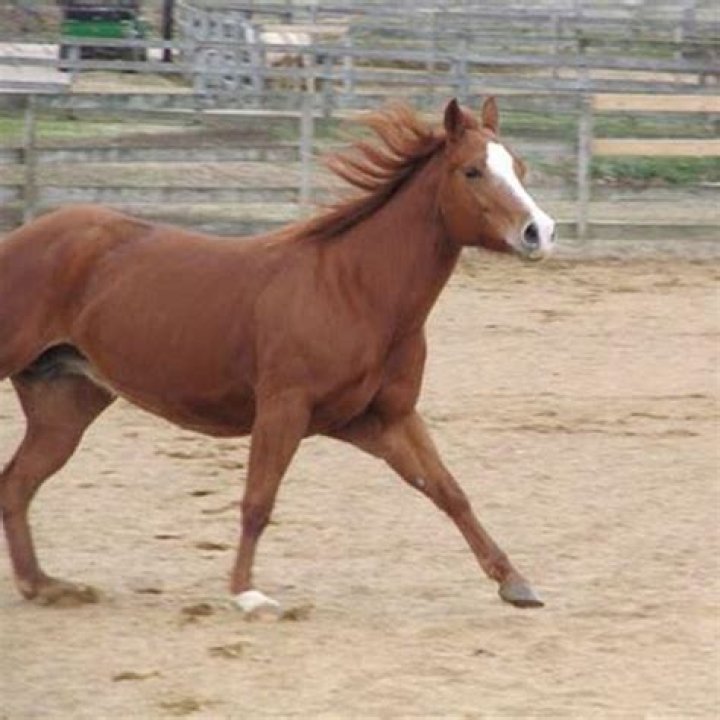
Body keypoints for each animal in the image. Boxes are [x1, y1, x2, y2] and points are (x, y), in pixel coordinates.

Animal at [0, 98, 555, 615]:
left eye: (520, 168)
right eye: (473, 171)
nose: (540, 231)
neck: (353, 291)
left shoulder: (387, 418)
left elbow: (447, 490)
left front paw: (515, 583)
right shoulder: (283, 409)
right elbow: (258, 500)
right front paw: (246, 593)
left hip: (66, 403)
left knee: (17, 483)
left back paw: (45, 585)